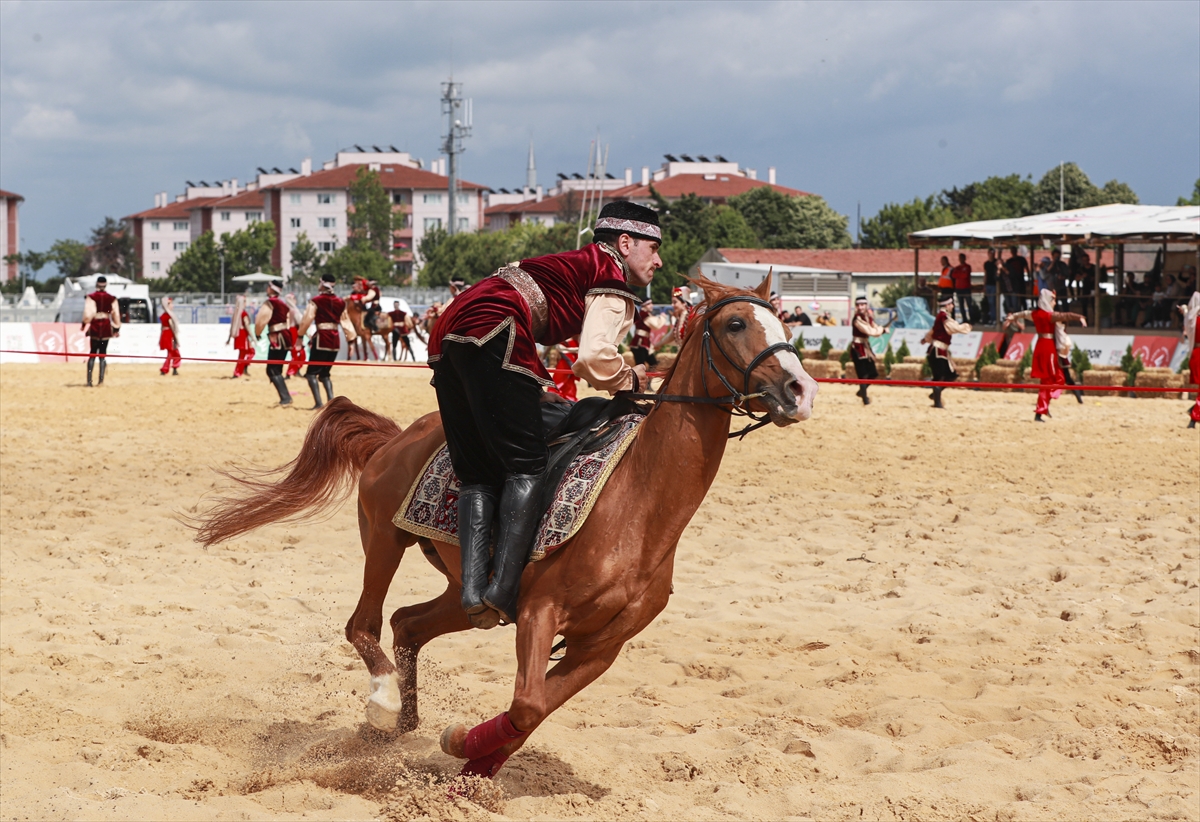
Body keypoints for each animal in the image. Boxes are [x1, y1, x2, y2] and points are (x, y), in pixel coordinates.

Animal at [194, 273, 816, 777]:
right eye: (735, 323)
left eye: (783, 320)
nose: (801, 390)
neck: (639, 509)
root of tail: (394, 436)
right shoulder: (541, 612)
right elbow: (527, 705)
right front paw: (462, 746)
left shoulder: (600, 648)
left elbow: (531, 714)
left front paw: (473, 765)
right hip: (384, 541)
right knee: (364, 624)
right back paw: (384, 704)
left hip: (466, 593)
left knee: (406, 624)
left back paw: (401, 726)